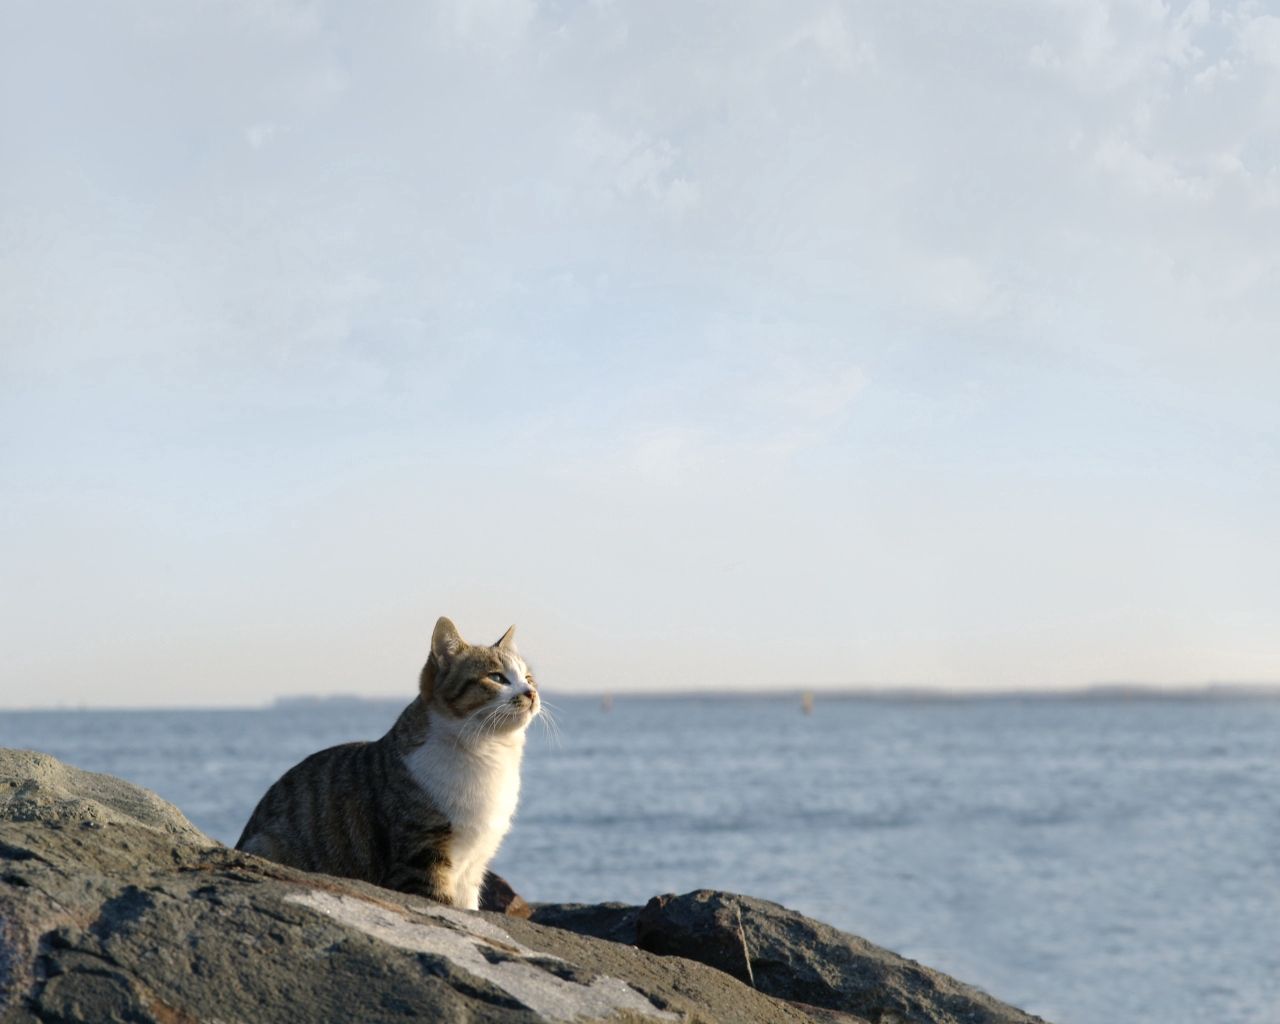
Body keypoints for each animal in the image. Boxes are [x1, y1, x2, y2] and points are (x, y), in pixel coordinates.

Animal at [236, 611, 540, 906]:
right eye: (497, 678)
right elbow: (438, 899)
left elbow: (467, 905)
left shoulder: (473, 864)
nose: (531, 693)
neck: (487, 752)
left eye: (528, 678)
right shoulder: (421, 853)